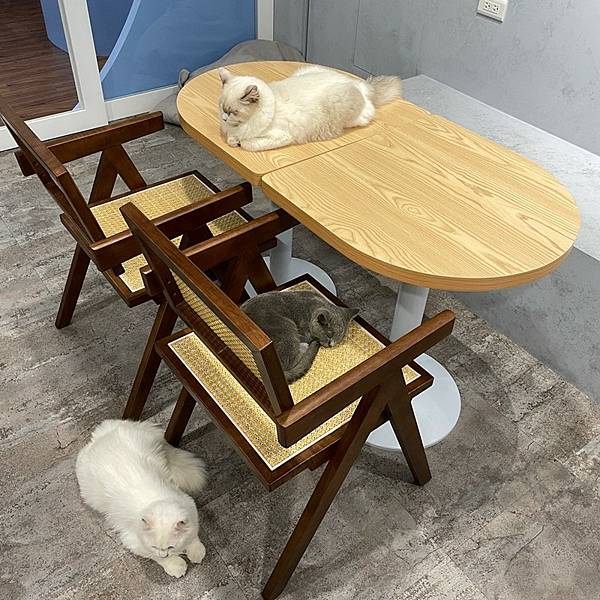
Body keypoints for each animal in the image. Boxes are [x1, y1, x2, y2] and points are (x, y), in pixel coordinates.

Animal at [76, 419, 207, 578]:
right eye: (155, 547)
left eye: (170, 547)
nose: (164, 554)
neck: (154, 499)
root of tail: (102, 432)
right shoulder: (133, 540)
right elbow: (155, 556)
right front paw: (176, 566)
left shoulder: (190, 508)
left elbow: (193, 536)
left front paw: (196, 552)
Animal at [218, 64, 402, 151]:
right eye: (222, 108)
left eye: (233, 112)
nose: (224, 118)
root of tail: (361, 84)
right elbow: (233, 139)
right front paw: (233, 140)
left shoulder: (281, 136)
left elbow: (246, 143)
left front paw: (238, 142)